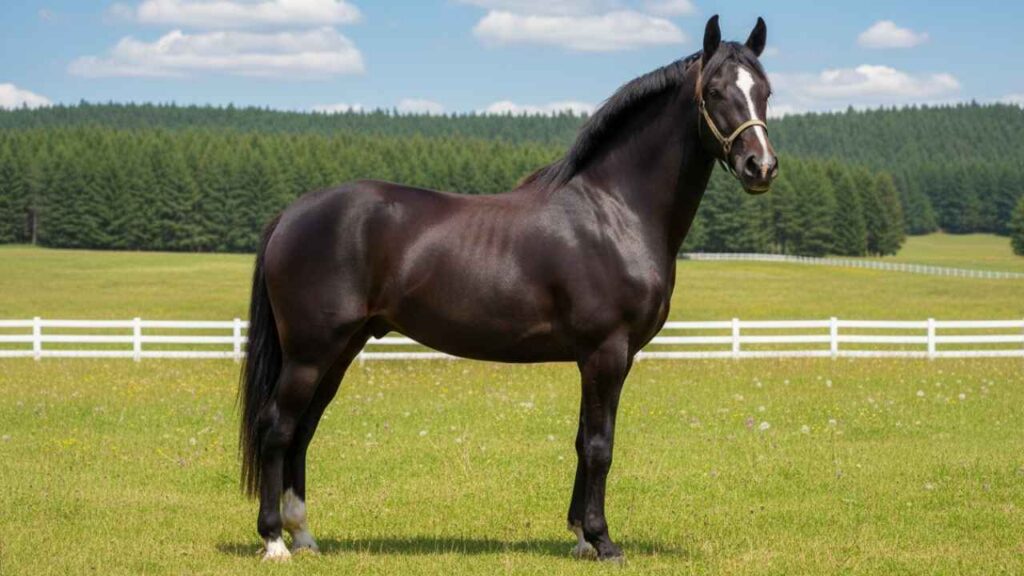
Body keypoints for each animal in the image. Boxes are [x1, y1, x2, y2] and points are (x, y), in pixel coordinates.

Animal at [239, 14, 778, 563]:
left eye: (765, 91)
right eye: (715, 91)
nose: (761, 167)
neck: (615, 211)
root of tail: (292, 213)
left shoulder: (598, 357)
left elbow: (582, 441)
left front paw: (580, 536)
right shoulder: (607, 352)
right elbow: (601, 445)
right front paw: (603, 540)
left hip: (341, 349)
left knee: (303, 429)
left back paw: (304, 535)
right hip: (310, 352)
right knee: (277, 428)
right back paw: (275, 540)